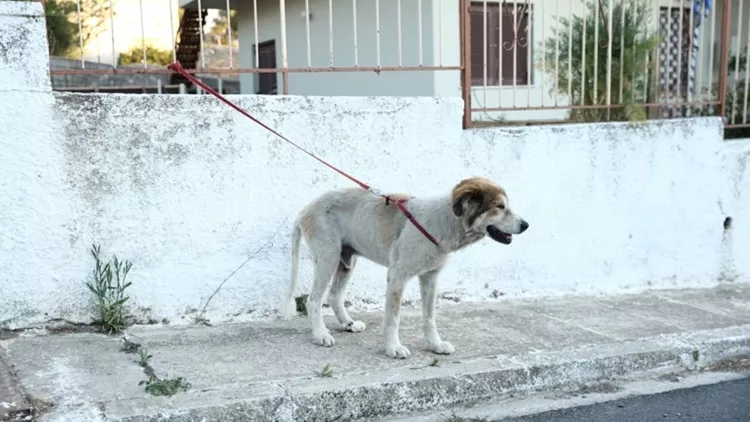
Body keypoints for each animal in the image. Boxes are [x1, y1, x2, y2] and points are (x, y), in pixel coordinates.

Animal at [280, 176, 532, 358]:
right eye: (500, 206)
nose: (526, 225)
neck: (444, 222)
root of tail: (305, 210)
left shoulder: (430, 277)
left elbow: (429, 318)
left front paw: (435, 345)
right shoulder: (397, 276)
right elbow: (393, 317)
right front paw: (393, 348)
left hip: (346, 260)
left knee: (333, 295)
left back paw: (347, 323)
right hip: (328, 257)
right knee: (314, 300)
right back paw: (320, 335)